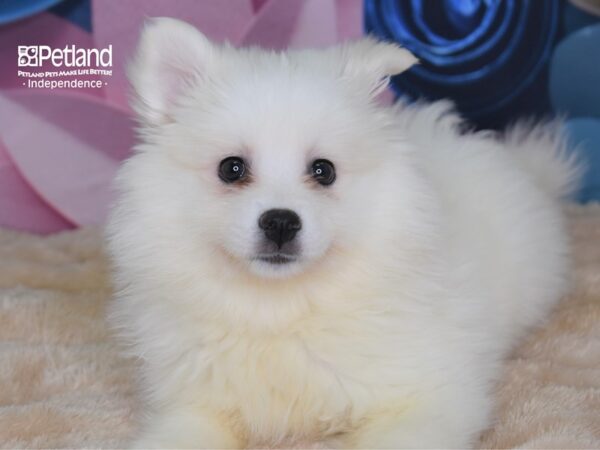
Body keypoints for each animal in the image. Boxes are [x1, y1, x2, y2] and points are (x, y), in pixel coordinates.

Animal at [108, 15, 580, 448]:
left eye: (324, 171)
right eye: (231, 169)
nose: (280, 221)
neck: (281, 310)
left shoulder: (425, 396)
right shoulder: (196, 402)